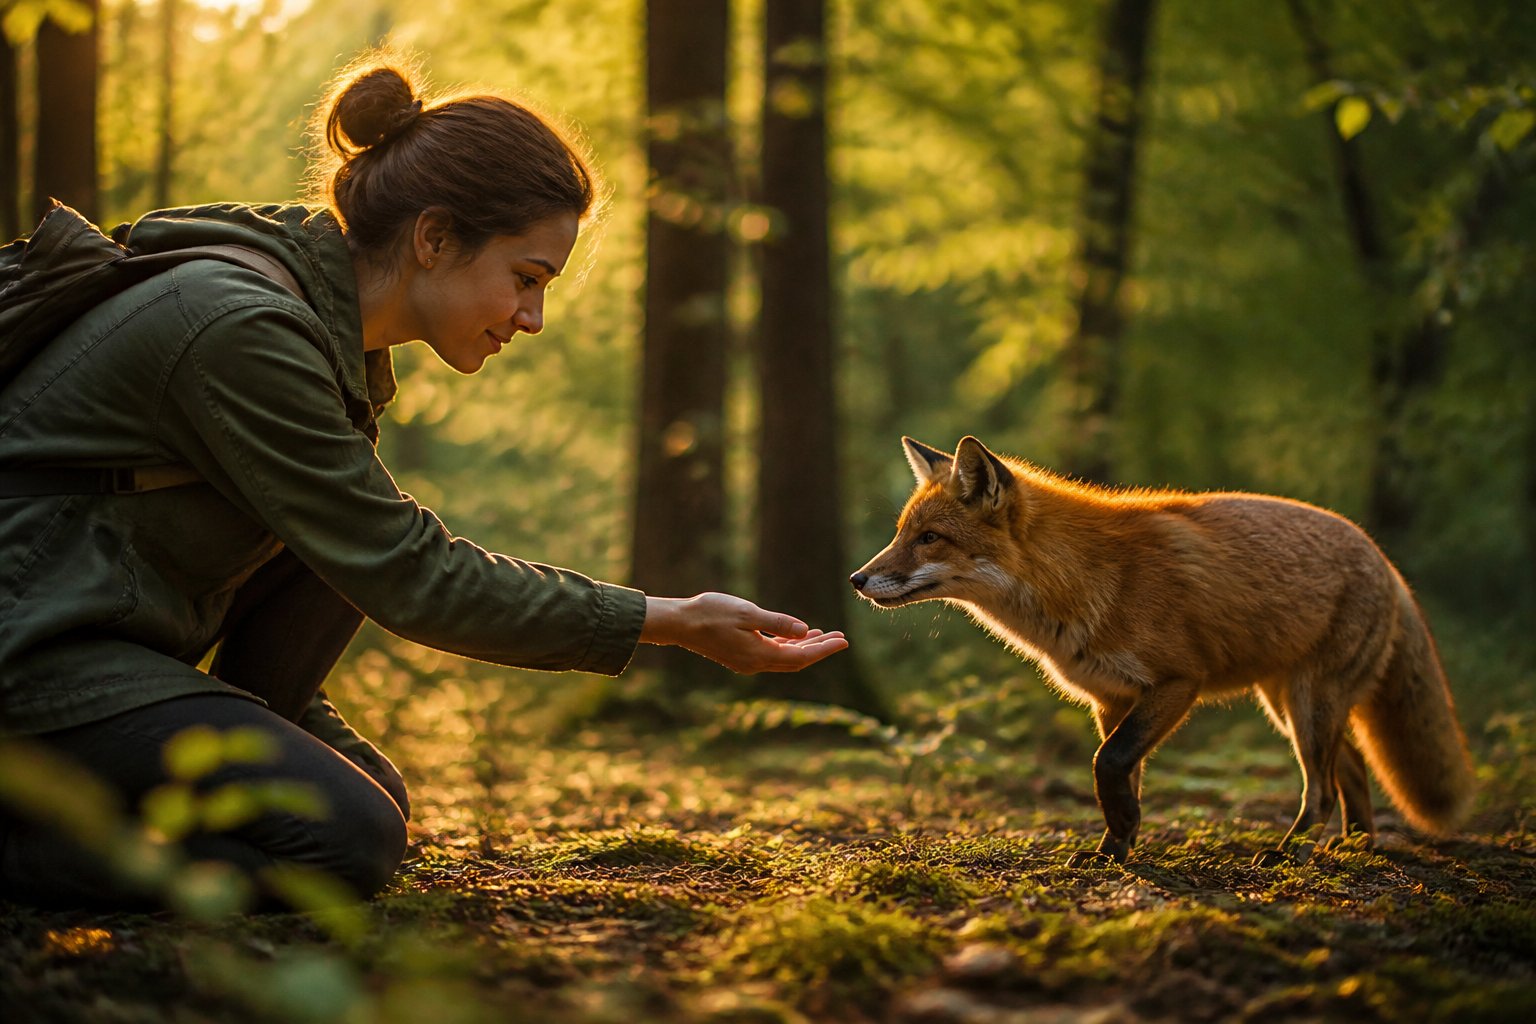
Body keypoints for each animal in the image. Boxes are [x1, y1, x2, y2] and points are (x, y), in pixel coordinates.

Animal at [850, 436, 1476, 866]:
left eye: (929, 539)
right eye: (901, 533)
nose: (857, 579)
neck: (1082, 581)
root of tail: (1381, 554)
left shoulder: (1177, 685)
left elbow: (1108, 764)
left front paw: (1122, 836)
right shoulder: (1110, 698)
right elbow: (1117, 774)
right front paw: (1114, 848)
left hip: (1309, 704)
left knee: (1321, 788)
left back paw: (1291, 852)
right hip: (1289, 706)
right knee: (1353, 768)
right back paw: (1354, 848)